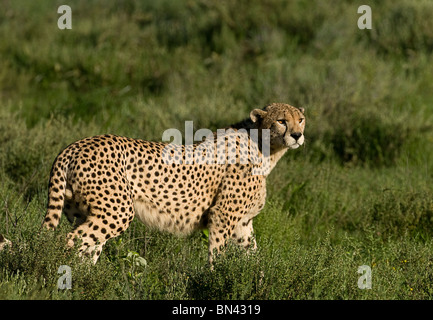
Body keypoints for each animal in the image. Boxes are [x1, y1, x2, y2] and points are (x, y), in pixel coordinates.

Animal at [40, 104, 304, 264]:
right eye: (281, 121)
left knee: (86, 250)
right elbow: (218, 253)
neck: (265, 148)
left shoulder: (243, 223)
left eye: (300, 119)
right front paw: (215, 278)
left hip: (85, 213)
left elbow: (252, 255)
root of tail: (74, 145)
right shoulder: (223, 215)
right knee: (68, 242)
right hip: (117, 211)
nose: (297, 135)